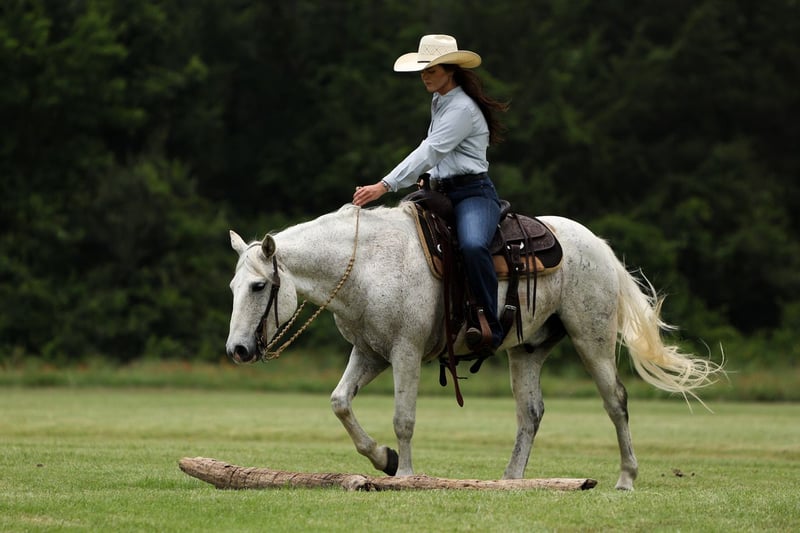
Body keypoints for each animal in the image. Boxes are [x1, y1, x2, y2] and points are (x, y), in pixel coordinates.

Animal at [225, 202, 723, 490]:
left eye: (257, 286)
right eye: (233, 286)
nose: (238, 351)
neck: (366, 263)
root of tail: (597, 244)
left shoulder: (405, 352)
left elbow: (404, 418)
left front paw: (405, 475)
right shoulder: (370, 353)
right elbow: (340, 402)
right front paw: (384, 459)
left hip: (591, 338)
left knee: (616, 400)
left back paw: (625, 478)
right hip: (527, 350)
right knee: (531, 412)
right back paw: (511, 481)